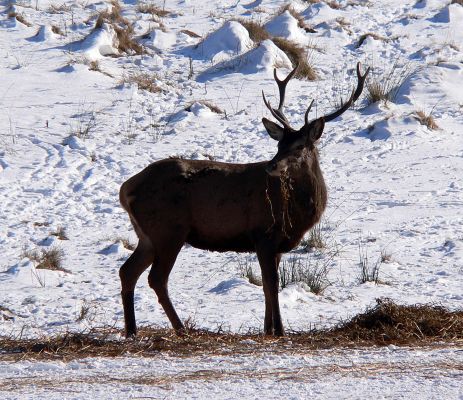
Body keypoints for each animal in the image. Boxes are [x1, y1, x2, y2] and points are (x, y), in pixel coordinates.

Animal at [118, 62, 370, 338]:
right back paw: (181, 329)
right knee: (156, 278)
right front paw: (279, 331)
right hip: (169, 230)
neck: (296, 216)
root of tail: (126, 189)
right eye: (279, 145)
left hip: (148, 236)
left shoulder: (274, 244)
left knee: (127, 271)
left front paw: (268, 329)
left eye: (300, 146)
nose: (272, 165)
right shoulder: (263, 234)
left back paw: (132, 330)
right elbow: (271, 284)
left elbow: (267, 285)